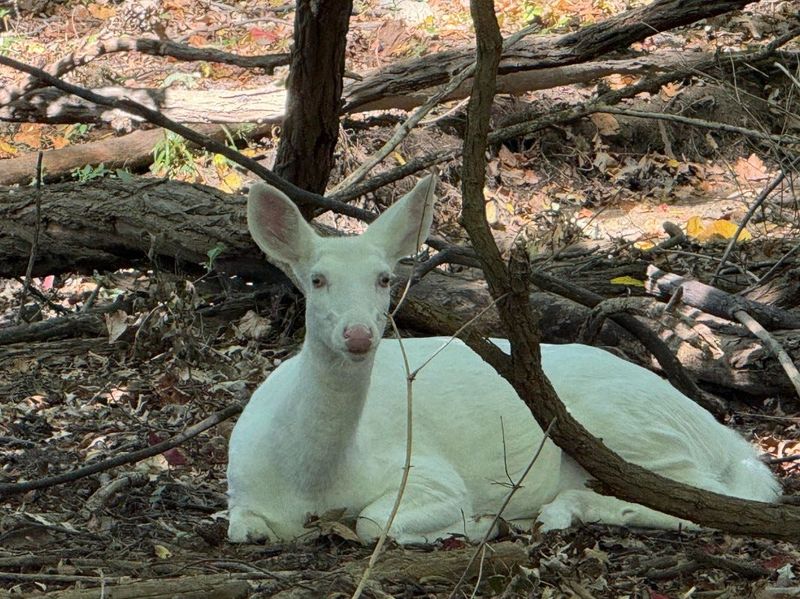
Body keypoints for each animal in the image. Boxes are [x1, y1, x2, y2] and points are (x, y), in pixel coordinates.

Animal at [226, 175, 780, 544]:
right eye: (316, 279)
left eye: (385, 278)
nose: (360, 334)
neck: (312, 484)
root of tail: (722, 437)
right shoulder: (238, 492)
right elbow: (242, 529)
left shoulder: (427, 473)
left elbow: (372, 522)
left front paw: (475, 523)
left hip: (628, 426)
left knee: (709, 498)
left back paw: (555, 512)